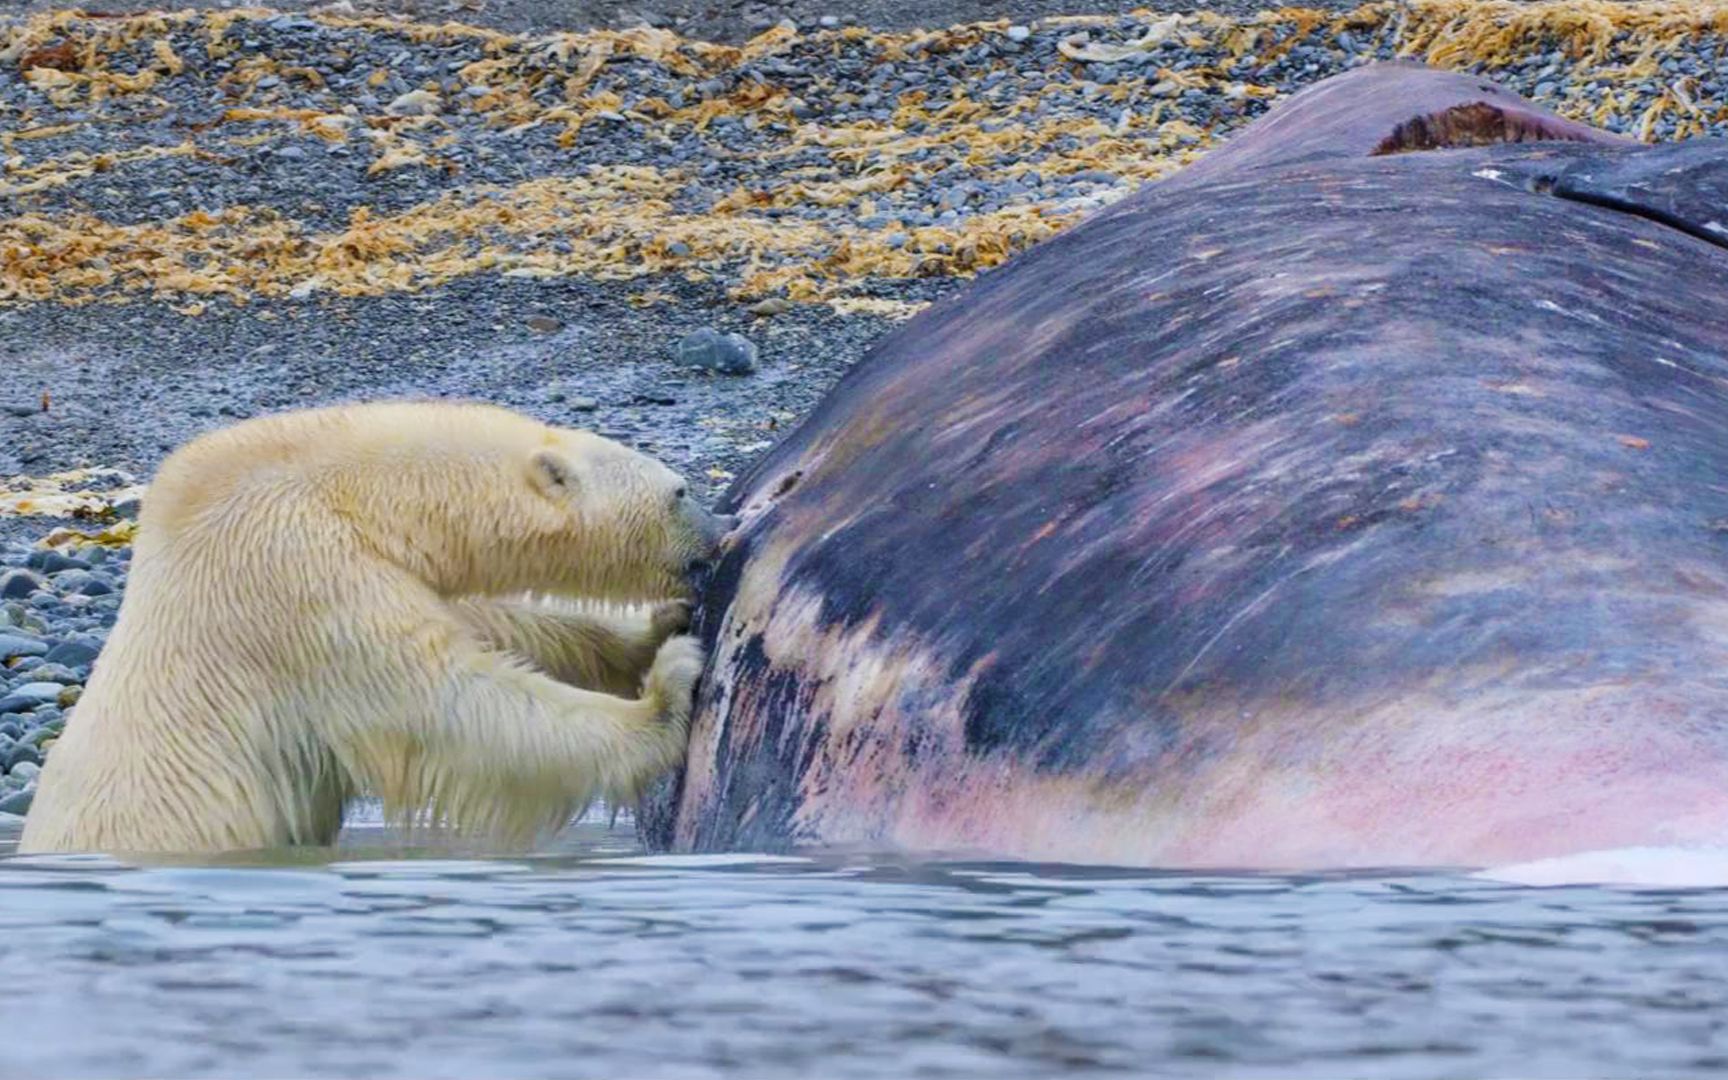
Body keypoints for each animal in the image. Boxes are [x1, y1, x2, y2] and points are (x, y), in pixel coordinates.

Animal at [20, 400, 736, 853]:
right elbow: (448, 701)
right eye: (680, 491)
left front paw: (650, 629)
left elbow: (489, 622)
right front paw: (667, 689)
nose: (723, 531)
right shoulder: (294, 571)